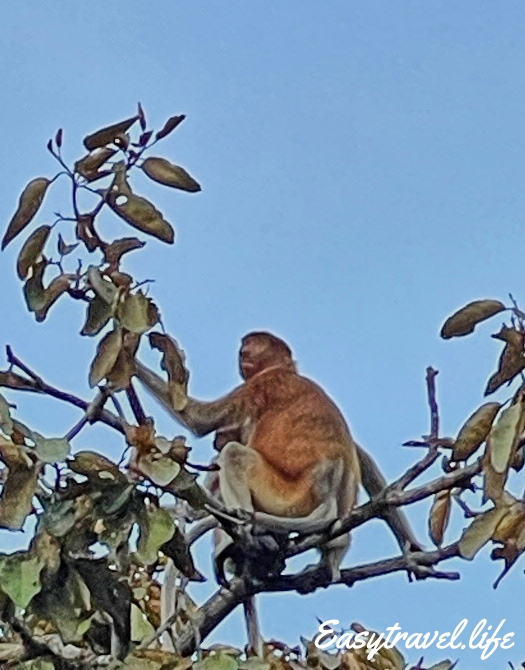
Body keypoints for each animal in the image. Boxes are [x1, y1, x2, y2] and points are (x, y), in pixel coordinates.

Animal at [135, 331, 420, 587]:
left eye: (247, 347)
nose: (242, 353)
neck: (287, 371)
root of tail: (325, 493)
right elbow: (366, 463)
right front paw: (413, 549)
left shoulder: (260, 385)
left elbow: (196, 417)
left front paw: (133, 356)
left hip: (284, 497)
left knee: (235, 456)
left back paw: (248, 532)